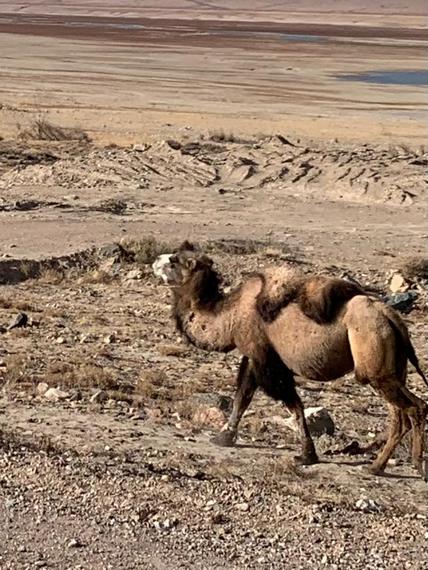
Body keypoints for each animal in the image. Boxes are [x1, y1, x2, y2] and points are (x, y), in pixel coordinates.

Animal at [153, 242, 428, 478]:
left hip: (373, 359)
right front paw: (224, 437)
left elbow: (291, 403)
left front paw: (307, 455)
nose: (155, 260)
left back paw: (415, 466)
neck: (228, 315)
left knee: (415, 407)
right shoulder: (255, 357)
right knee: (398, 414)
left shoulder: (263, 357)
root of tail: (390, 315)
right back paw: (376, 466)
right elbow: (243, 396)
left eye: (175, 260)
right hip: (392, 366)